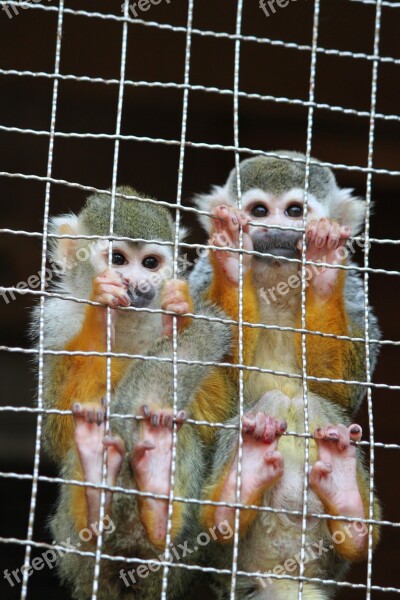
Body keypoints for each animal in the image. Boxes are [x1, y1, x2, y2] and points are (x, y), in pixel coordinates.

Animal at [191, 154, 382, 600]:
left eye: (295, 211)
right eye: (260, 211)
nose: (276, 231)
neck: (277, 273)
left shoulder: (355, 291)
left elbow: (343, 392)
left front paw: (324, 267)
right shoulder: (200, 278)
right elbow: (219, 389)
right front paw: (232, 263)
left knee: (312, 404)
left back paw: (350, 515)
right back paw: (231, 501)